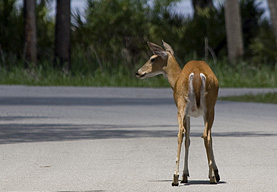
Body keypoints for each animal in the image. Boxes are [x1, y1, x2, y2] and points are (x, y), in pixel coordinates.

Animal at [135, 41, 219, 186]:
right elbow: (203, 138)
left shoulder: (188, 113)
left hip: (182, 105)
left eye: (152, 58)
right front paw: (215, 172)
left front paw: (186, 174)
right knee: (205, 135)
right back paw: (211, 177)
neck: (175, 81)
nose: (138, 72)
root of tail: (197, 76)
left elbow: (188, 140)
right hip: (209, 106)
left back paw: (176, 177)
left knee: (182, 133)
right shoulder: (196, 114)